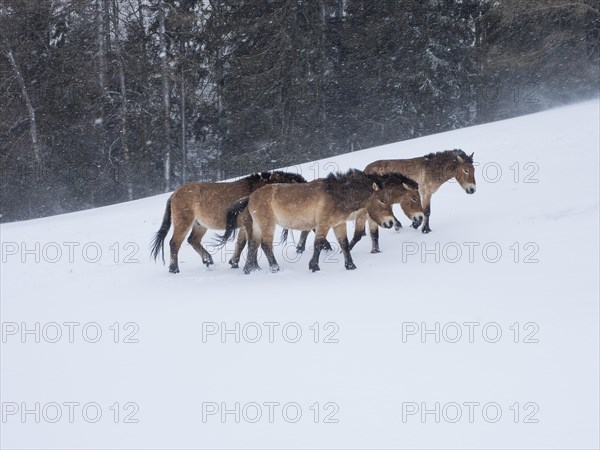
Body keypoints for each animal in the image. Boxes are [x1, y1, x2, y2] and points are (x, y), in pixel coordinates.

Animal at [150, 171, 308, 270]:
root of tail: (174, 194)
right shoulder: (249, 224)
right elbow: (252, 244)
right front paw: (253, 266)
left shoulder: (244, 226)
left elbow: (241, 244)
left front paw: (234, 263)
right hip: (184, 222)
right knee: (174, 243)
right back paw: (174, 269)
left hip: (200, 225)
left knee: (193, 240)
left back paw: (208, 260)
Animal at [218, 170, 420, 272]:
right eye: (382, 200)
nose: (390, 223)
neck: (337, 195)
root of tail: (251, 197)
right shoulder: (323, 224)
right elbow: (318, 244)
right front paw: (314, 266)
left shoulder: (339, 224)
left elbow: (345, 244)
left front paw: (350, 265)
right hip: (268, 225)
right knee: (265, 245)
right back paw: (274, 268)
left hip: (258, 226)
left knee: (252, 244)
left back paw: (249, 269)